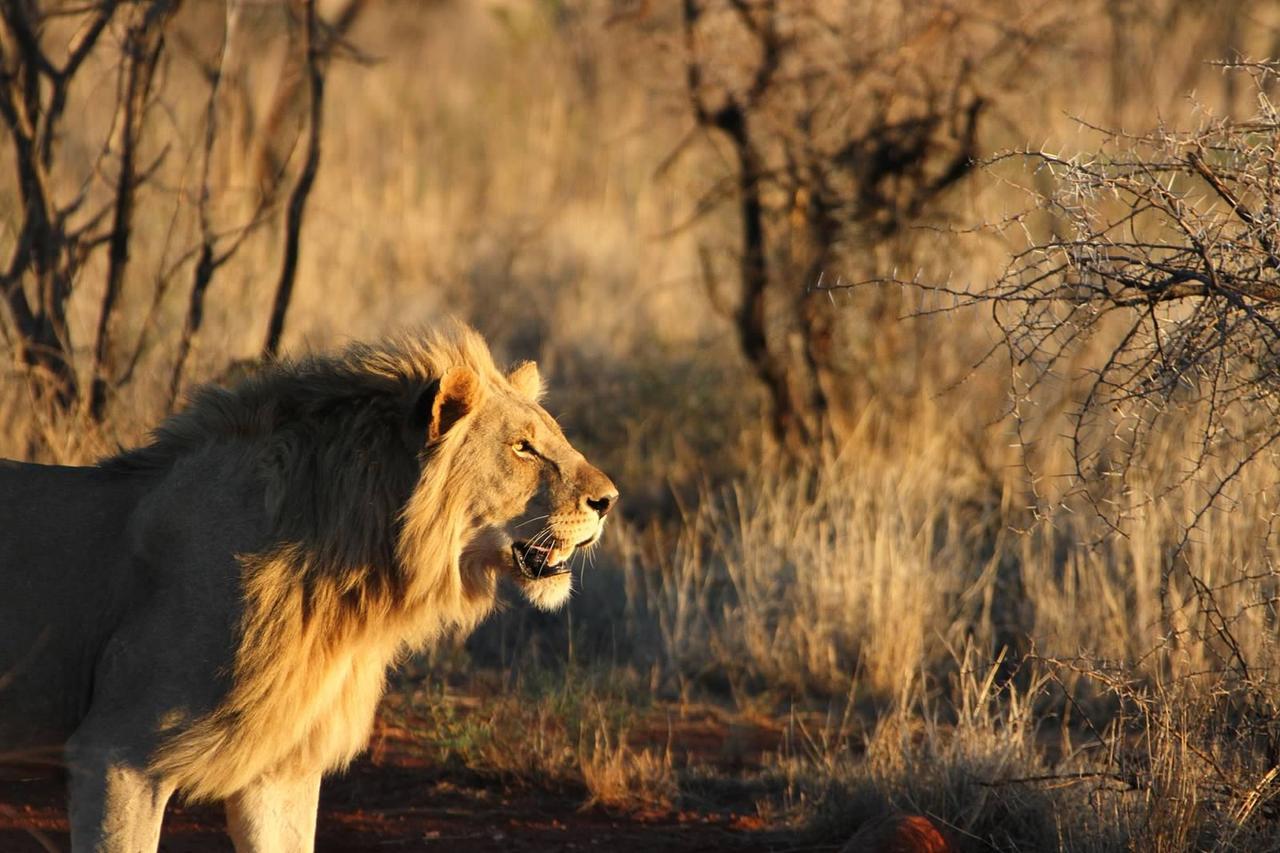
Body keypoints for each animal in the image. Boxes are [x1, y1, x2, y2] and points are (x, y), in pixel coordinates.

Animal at [0, 322, 619, 845]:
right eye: (522, 448)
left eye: (553, 436)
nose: (608, 500)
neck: (346, 588)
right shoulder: (115, 753)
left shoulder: (280, 768)